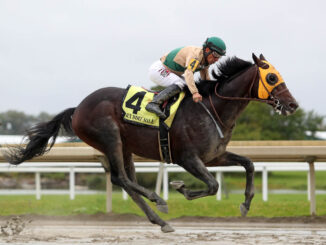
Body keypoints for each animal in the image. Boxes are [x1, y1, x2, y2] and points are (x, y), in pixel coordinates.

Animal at [5, 53, 298, 232]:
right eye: (272, 77)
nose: (293, 105)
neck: (212, 109)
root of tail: (77, 108)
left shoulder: (214, 156)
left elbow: (248, 164)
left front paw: (246, 204)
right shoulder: (188, 158)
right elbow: (213, 185)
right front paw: (181, 188)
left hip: (125, 147)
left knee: (124, 181)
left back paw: (160, 220)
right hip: (110, 138)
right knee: (122, 178)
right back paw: (158, 199)